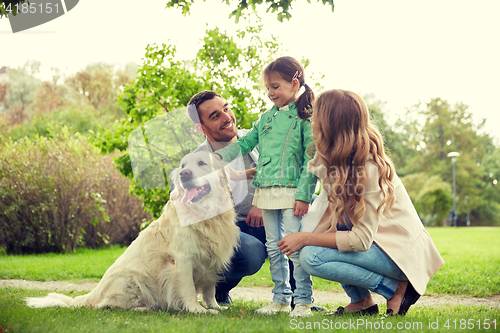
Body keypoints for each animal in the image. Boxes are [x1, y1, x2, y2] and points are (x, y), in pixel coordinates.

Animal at [25, 152, 240, 312]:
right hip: (131, 281)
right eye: (183, 165)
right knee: (109, 306)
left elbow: (210, 288)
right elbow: (187, 289)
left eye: (202, 163)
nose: (184, 174)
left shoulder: (211, 258)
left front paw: (215, 306)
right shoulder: (183, 259)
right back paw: (144, 308)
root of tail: (93, 293)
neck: (207, 215)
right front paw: (198, 310)